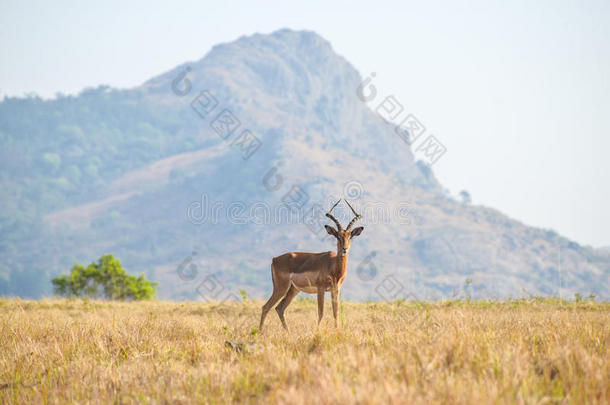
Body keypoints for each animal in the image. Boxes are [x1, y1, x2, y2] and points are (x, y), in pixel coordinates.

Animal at [258, 198, 364, 328]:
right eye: (338, 236)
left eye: (350, 236)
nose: (345, 249)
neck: (333, 266)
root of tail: (274, 259)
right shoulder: (320, 288)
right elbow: (321, 312)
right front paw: (317, 331)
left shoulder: (335, 289)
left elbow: (336, 313)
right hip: (281, 288)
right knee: (266, 307)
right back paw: (260, 331)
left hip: (293, 290)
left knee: (279, 308)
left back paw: (287, 331)